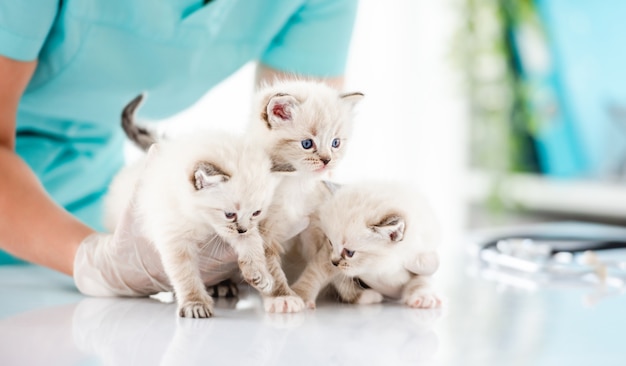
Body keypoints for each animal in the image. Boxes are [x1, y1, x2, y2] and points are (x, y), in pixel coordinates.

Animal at [103, 94, 290, 318]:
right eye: (229, 214)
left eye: (256, 212)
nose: (242, 229)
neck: (201, 221)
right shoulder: (174, 238)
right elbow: (185, 274)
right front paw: (195, 303)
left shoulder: (239, 230)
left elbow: (252, 244)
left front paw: (259, 274)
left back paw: (222, 284)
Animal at [244, 79, 360, 312]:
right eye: (307, 144)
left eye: (335, 143)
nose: (327, 160)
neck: (296, 184)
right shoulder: (264, 232)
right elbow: (270, 270)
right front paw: (282, 297)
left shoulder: (320, 229)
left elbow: (320, 267)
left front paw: (304, 293)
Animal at [290, 180, 442, 308]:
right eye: (330, 242)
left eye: (349, 253)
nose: (334, 262)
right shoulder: (326, 254)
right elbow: (314, 273)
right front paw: (299, 296)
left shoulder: (422, 257)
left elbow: (422, 280)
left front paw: (423, 297)